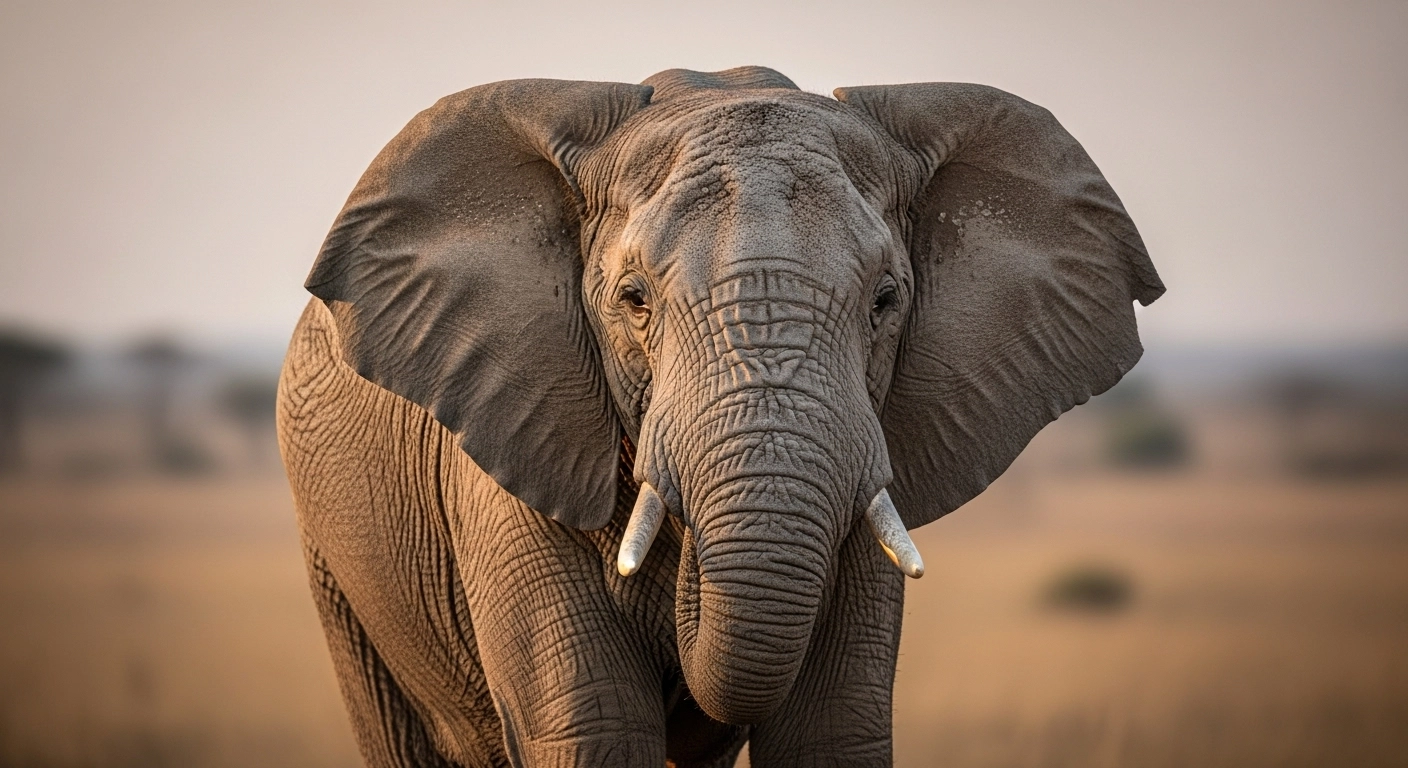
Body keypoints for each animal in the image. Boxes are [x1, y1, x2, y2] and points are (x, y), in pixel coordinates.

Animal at [277, 66, 1164, 767]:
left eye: (886, 301)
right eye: (633, 299)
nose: (692, 572)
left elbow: (830, 730)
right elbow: (592, 729)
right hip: (336, 558)